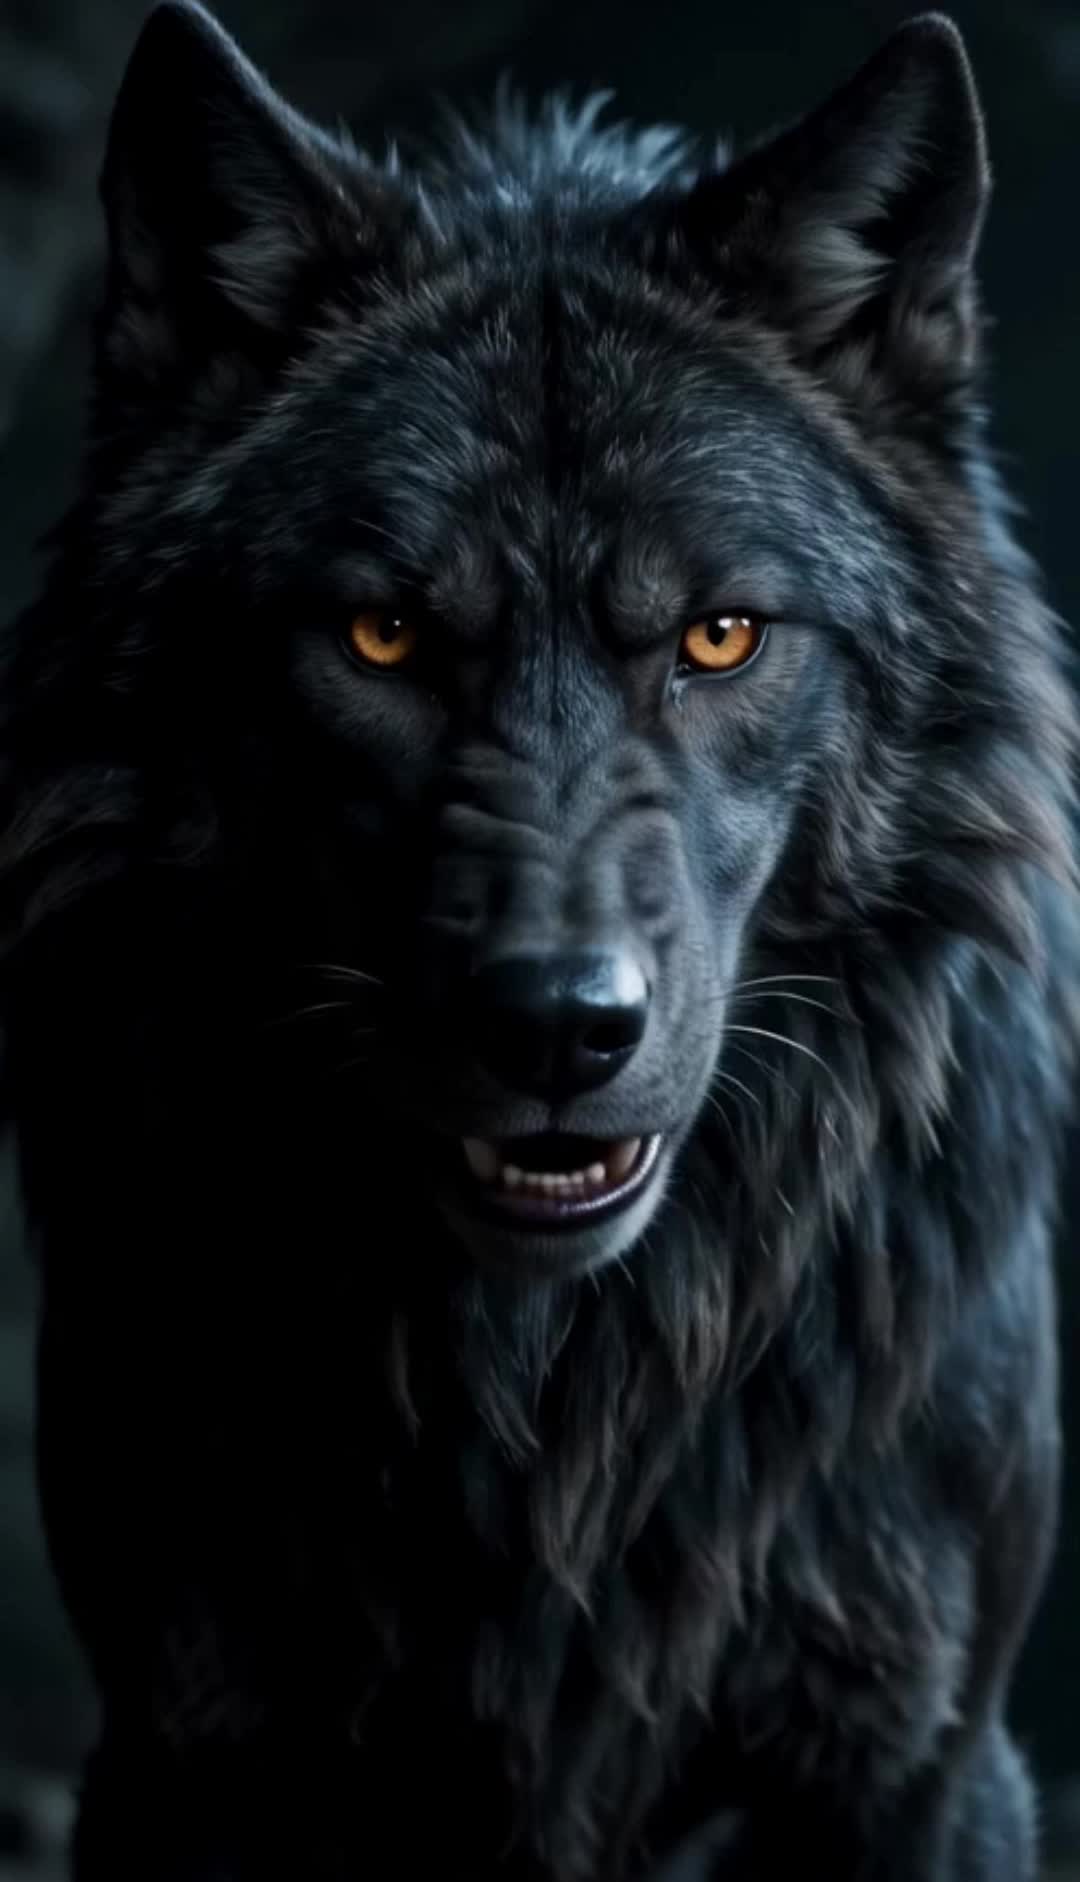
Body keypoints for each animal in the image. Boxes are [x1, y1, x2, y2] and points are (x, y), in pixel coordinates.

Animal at [2, 3, 1077, 1877]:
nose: (559, 1026)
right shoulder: (183, 1751)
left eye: (720, 636)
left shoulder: (923, 1769)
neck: (569, 1395)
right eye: (382, 633)